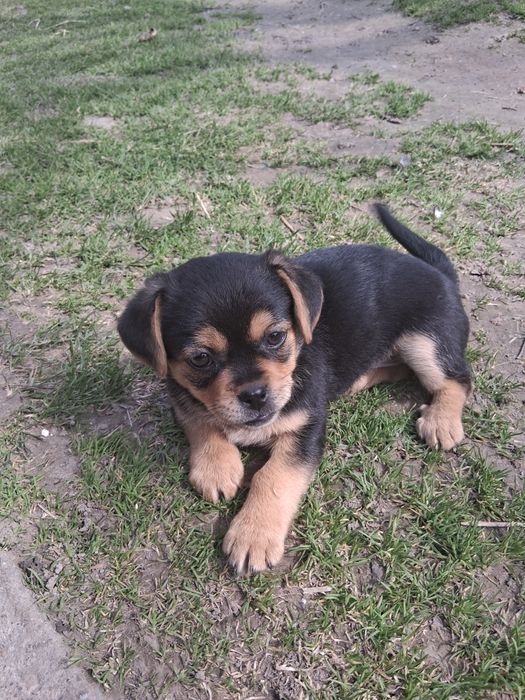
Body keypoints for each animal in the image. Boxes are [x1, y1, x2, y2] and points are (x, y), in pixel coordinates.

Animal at [118, 204, 470, 574]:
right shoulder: (180, 394)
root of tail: (442, 274)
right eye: (200, 359)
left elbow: (274, 476)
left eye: (275, 337)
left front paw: (254, 535)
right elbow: (200, 419)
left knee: (457, 378)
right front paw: (217, 467)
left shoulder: (307, 427)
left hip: (425, 343)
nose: (255, 395)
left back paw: (442, 421)